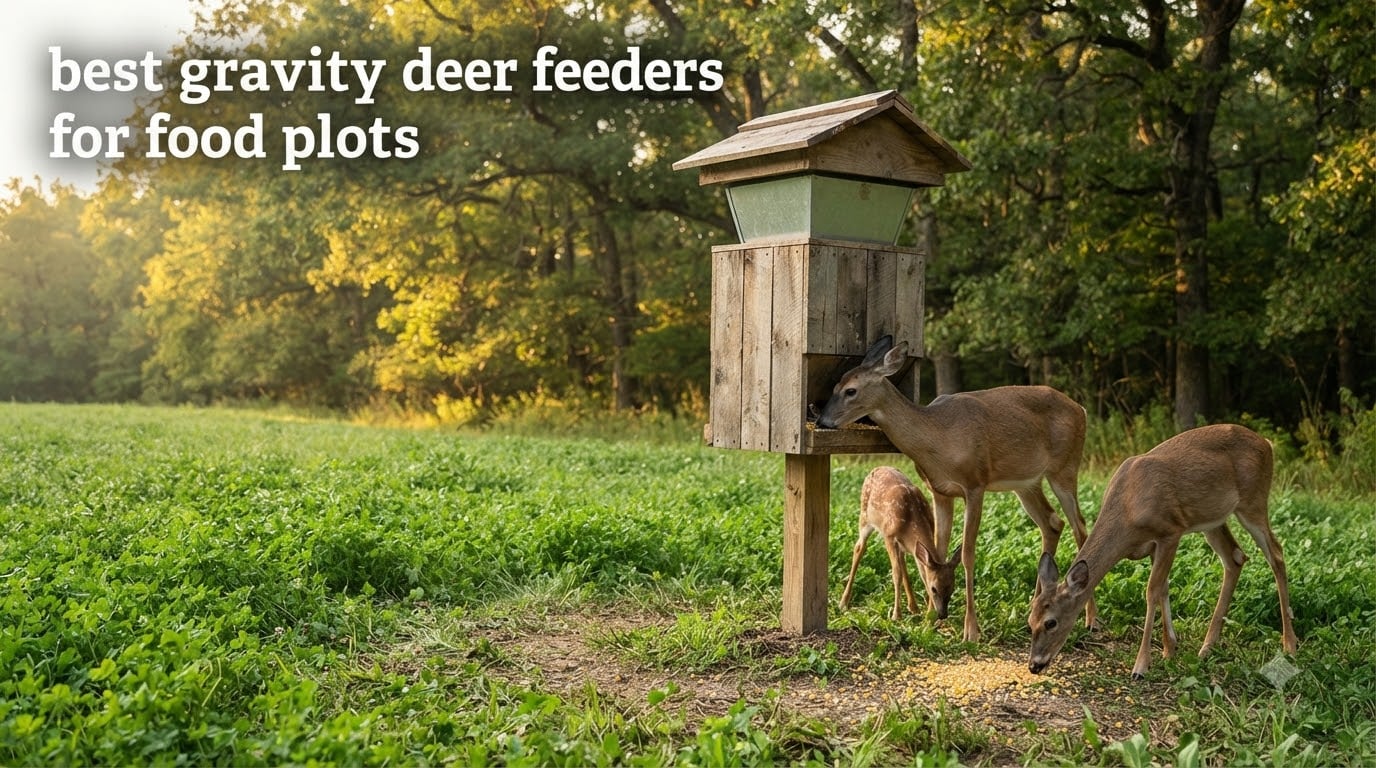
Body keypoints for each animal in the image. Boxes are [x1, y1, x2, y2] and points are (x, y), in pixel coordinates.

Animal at [839, 466, 959, 621]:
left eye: (952, 587)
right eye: (934, 588)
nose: (942, 615)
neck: (911, 518)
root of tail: (876, 468)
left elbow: (920, 572)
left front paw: (926, 613)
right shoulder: (889, 536)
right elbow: (896, 574)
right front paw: (896, 615)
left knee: (902, 563)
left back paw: (914, 607)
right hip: (864, 517)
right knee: (859, 547)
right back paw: (843, 603)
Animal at [1027, 423, 1300, 679]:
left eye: (1051, 622)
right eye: (1030, 621)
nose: (1034, 665)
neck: (1128, 510)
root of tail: (1266, 443)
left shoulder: (1170, 532)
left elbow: (1152, 590)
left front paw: (1141, 666)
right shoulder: (1152, 546)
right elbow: (1164, 588)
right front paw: (1170, 650)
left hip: (1253, 502)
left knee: (1276, 553)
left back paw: (1289, 645)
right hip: (1212, 520)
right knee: (1235, 557)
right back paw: (1207, 647)